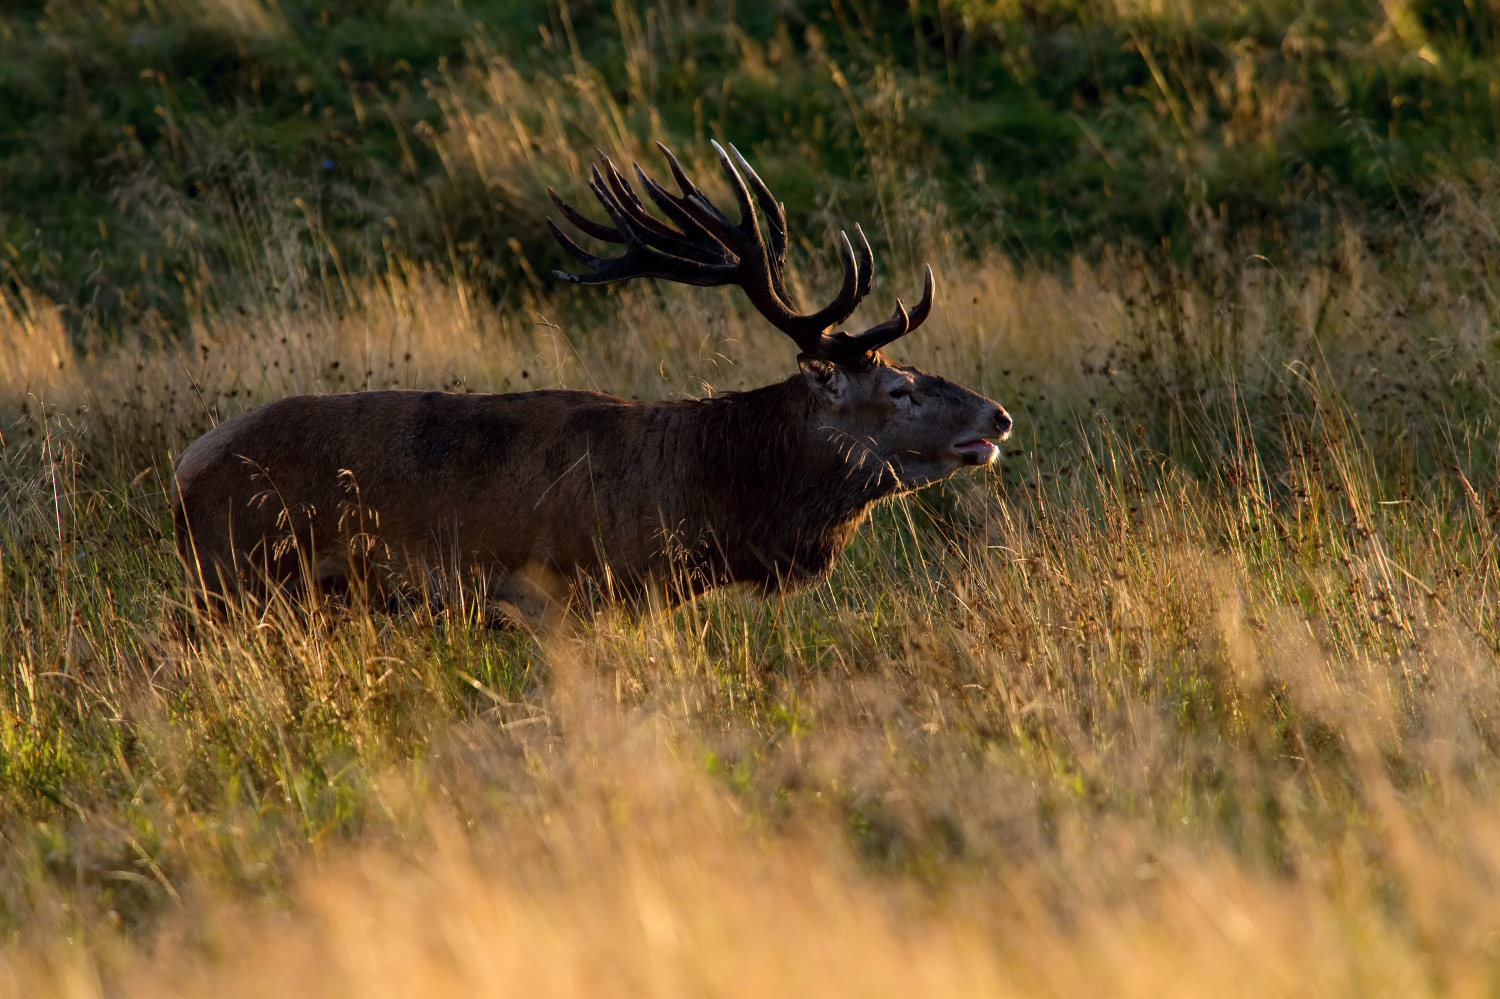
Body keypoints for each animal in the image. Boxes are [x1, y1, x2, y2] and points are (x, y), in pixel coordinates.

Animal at [178, 144, 1020, 618]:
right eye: (901, 388)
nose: (999, 417)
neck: (696, 495)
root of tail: (182, 468)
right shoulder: (566, 593)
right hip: (241, 578)